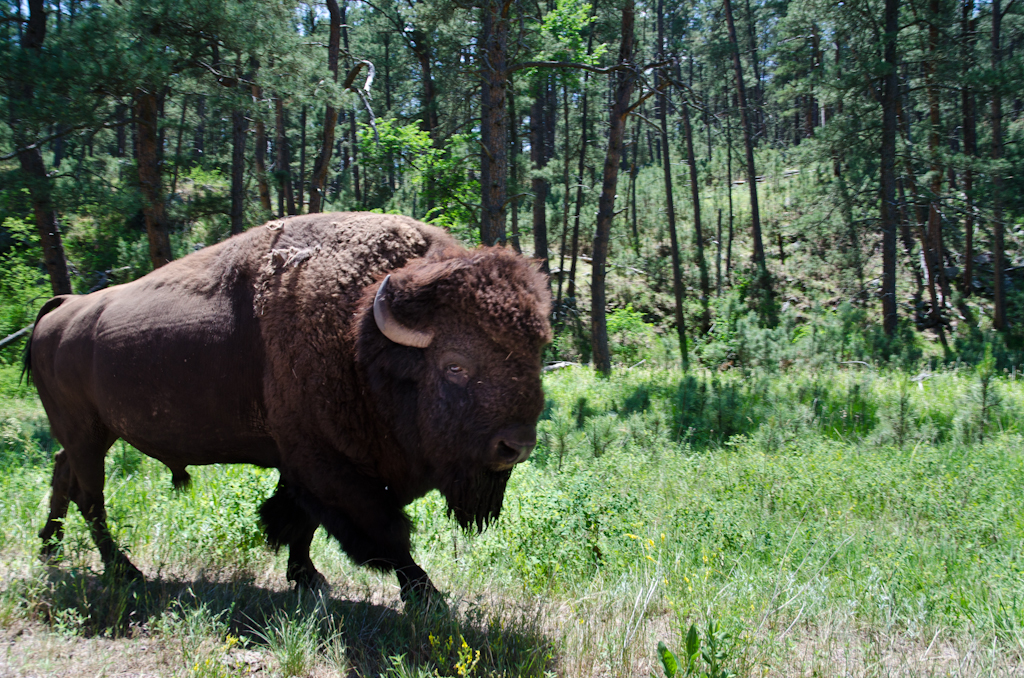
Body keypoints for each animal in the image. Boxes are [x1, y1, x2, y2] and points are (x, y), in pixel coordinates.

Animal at [25, 214, 552, 606]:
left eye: (537, 353)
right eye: (455, 365)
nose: (516, 445)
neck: (360, 338)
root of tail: (62, 307)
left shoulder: (307, 466)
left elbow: (302, 522)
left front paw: (307, 577)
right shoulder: (330, 468)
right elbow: (383, 532)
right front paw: (426, 593)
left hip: (89, 434)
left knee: (63, 474)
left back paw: (49, 547)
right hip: (87, 433)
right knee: (91, 497)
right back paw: (125, 570)